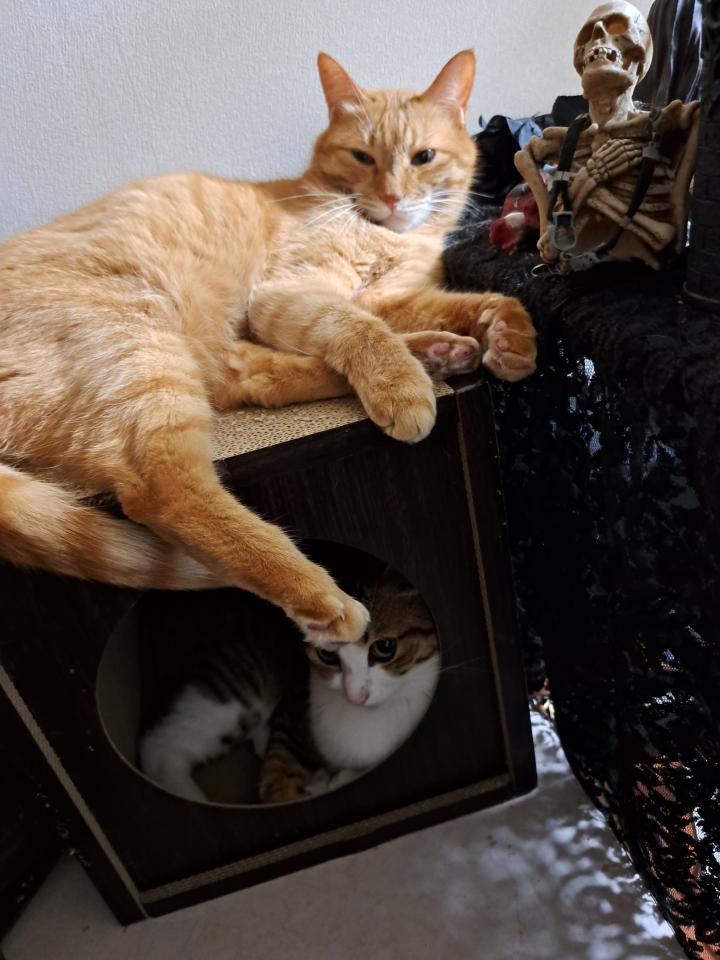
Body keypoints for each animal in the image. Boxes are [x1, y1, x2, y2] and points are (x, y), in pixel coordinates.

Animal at [0, 49, 536, 647]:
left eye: (423, 157)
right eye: (362, 157)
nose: (394, 198)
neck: (389, 237)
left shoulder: (394, 298)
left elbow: (471, 302)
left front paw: (509, 336)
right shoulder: (288, 293)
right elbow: (359, 329)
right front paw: (400, 387)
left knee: (248, 379)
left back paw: (437, 354)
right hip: (136, 345)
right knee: (165, 485)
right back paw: (319, 592)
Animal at [139, 569, 440, 803]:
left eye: (385, 648)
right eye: (326, 655)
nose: (356, 696)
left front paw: (331, 780)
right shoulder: (292, 712)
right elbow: (277, 783)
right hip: (242, 687)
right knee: (159, 747)